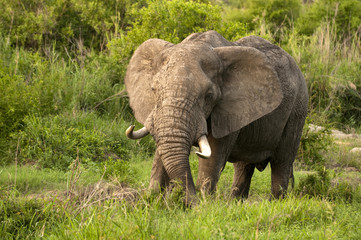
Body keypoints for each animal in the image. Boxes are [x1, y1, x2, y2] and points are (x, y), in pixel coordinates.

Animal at [124, 30, 306, 206]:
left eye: (209, 95)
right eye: (153, 89)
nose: (189, 202)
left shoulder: (229, 110)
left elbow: (213, 155)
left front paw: (203, 204)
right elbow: (161, 152)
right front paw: (151, 200)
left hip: (297, 111)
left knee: (281, 163)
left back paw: (276, 203)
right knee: (243, 166)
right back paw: (235, 204)